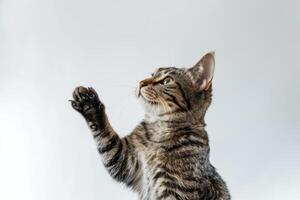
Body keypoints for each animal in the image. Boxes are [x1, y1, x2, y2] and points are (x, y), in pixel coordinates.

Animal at [69, 52, 230, 199]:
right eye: (151, 75)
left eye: (166, 80)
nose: (141, 82)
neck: (158, 131)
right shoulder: (124, 159)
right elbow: (106, 139)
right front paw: (89, 104)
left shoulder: (176, 189)